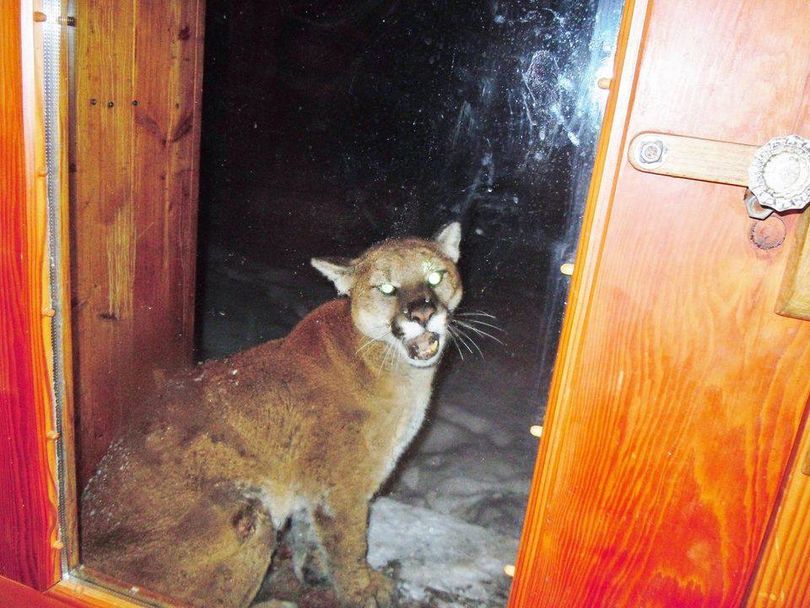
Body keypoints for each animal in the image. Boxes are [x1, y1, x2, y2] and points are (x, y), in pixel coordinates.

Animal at [83, 223, 460, 608]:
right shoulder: (343, 490)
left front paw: (314, 571)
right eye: (387, 288)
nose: (422, 314)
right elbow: (349, 545)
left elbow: (310, 532)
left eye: (435, 276)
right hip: (249, 514)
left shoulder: (315, 486)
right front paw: (363, 589)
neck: (394, 365)